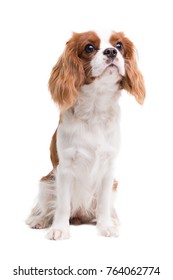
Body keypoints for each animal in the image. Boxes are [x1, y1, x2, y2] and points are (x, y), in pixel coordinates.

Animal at [26, 30, 146, 241]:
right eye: (89, 47)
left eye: (119, 45)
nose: (111, 51)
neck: (95, 109)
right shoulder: (64, 168)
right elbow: (62, 205)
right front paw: (59, 229)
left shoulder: (109, 169)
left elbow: (103, 203)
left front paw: (106, 226)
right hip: (46, 183)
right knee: (46, 207)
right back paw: (39, 220)